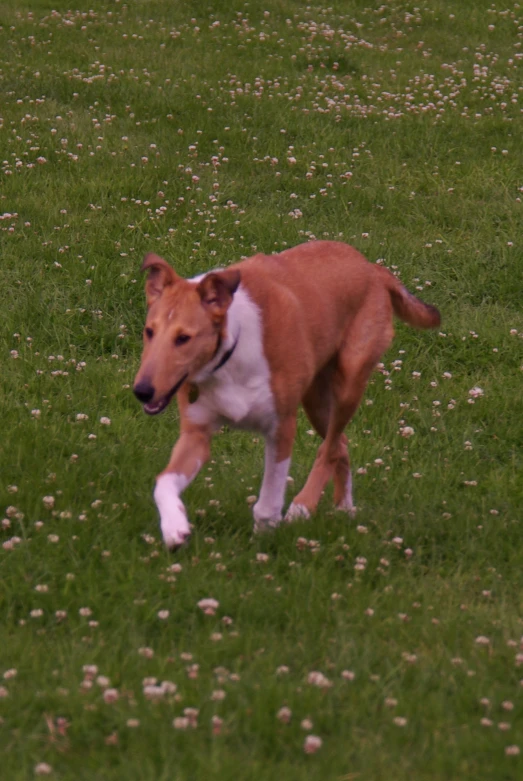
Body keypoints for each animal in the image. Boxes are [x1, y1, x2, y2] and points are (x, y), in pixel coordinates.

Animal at [133, 241, 440, 544]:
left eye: (183, 338)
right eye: (149, 331)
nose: (142, 391)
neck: (231, 350)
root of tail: (373, 268)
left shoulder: (281, 426)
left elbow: (269, 498)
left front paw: (266, 535)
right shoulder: (196, 434)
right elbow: (163, 481)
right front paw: (174, 528)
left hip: (348, 383)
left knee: (329, 449)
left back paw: (302, 507)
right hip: (316, 400)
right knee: (341, 445)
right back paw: (344, 508)